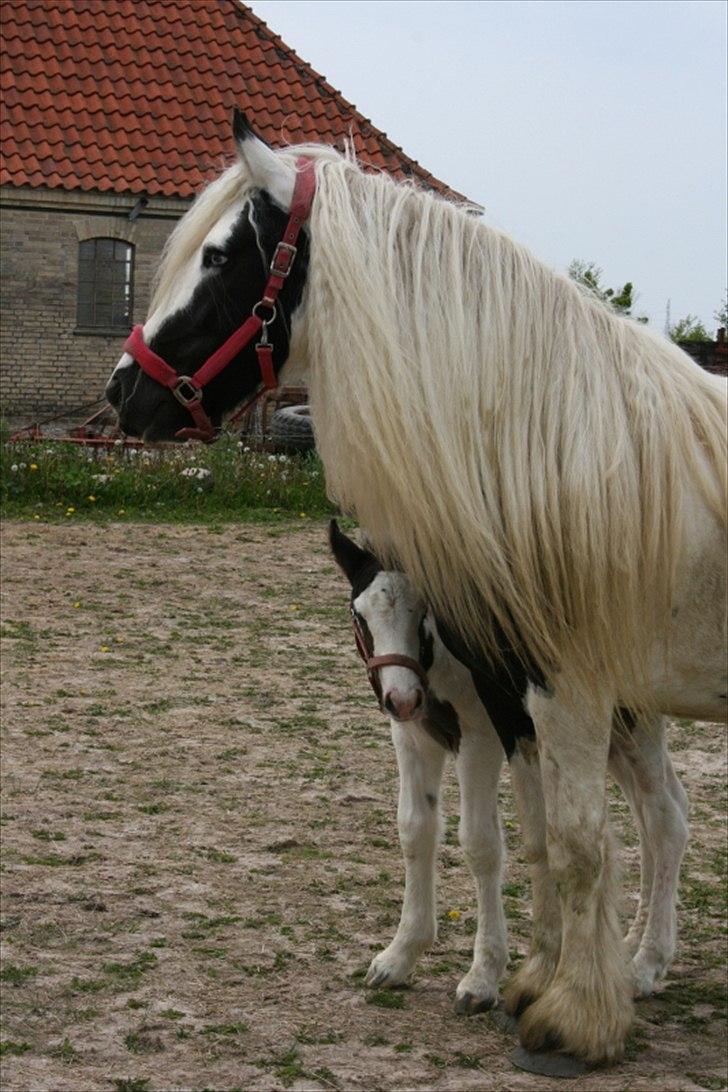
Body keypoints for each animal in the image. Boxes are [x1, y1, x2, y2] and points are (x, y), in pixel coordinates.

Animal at [329, 519, 689, 1013]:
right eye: (358, 615)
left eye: (424, 615)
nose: (400, 698)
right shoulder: (413, 736)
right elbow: (415, 828)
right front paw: (401, 954)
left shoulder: (480, 738)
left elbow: (480, 843)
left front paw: (483, 976)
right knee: (652, 815)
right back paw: (632, 945)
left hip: (633, 724)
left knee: (665, 818)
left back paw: (647, 963)